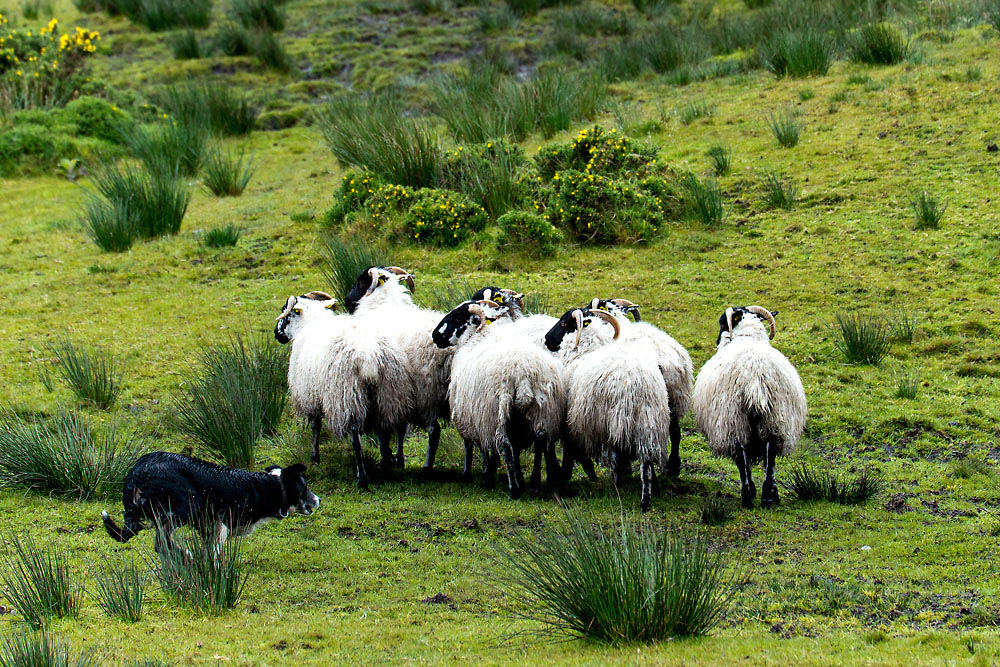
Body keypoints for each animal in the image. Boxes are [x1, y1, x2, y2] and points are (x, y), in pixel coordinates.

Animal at [274, 292, 414, 487]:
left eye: (285, 313)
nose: (276, 333)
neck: (310, 322)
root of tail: (369, 357)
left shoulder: (311, 398)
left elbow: (316, 427)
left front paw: (315, 458)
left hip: (347, 395)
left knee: (356, 438)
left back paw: (362, 478)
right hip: (388, 394)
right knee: (384, 432)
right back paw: (386, 467)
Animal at [344, 266, 453, 473]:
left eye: (361, 282)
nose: (346, 300)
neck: (382, 304)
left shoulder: (388, 390)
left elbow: (384, 430)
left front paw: (387, 459)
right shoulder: (401, 395)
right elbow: (401, 428)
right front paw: (399, 459)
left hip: (428, 391)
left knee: (434, 431)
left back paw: (427, 467)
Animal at [433, 299, 565, 498]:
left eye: (457, 317)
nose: (435, 336)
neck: (475, 339)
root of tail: (522, 373)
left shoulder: (475, 417)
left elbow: (478, 447)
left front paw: (485, 477)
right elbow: (516, 448)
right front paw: (517, 477)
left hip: (497, 411)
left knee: (505, 446)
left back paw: (514, 490)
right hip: (541, 408)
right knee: (540, 440)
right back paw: (533, 485)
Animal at [545, 307, 671, 511]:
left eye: (564, 323)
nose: (546, 339)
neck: (585, 350)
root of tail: (638, 382)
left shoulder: (574, 418)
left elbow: (571, 451)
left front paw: (569, 475)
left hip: (616, 420)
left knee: (620, 453)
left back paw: (624, 487)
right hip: (648, 423)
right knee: (646, 464)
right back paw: (648, 496)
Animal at [691, 306, 807, 509]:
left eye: (722, 323)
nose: (717, 341)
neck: (749, 337)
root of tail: (755, 379)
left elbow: (745, 461)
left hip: (733, 418)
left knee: (740, 454)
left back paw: (748, 496)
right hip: (775, 418)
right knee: (771, 453)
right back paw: (768, 496)